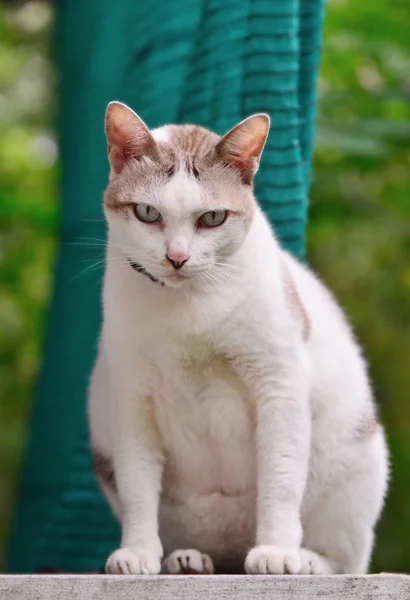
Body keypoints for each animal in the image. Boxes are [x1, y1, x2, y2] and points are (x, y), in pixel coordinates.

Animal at [88, 102, 390, 576]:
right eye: (148, 213)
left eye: (212, 218)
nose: (176, 258)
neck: (189, 307)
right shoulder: (132, 401)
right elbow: (138, 488)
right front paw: (137, 553)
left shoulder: (278, 386)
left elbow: (280, 482)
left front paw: (277, 551)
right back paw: (189, 559)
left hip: (356, 465)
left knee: (345, 560)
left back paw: (305, 560)